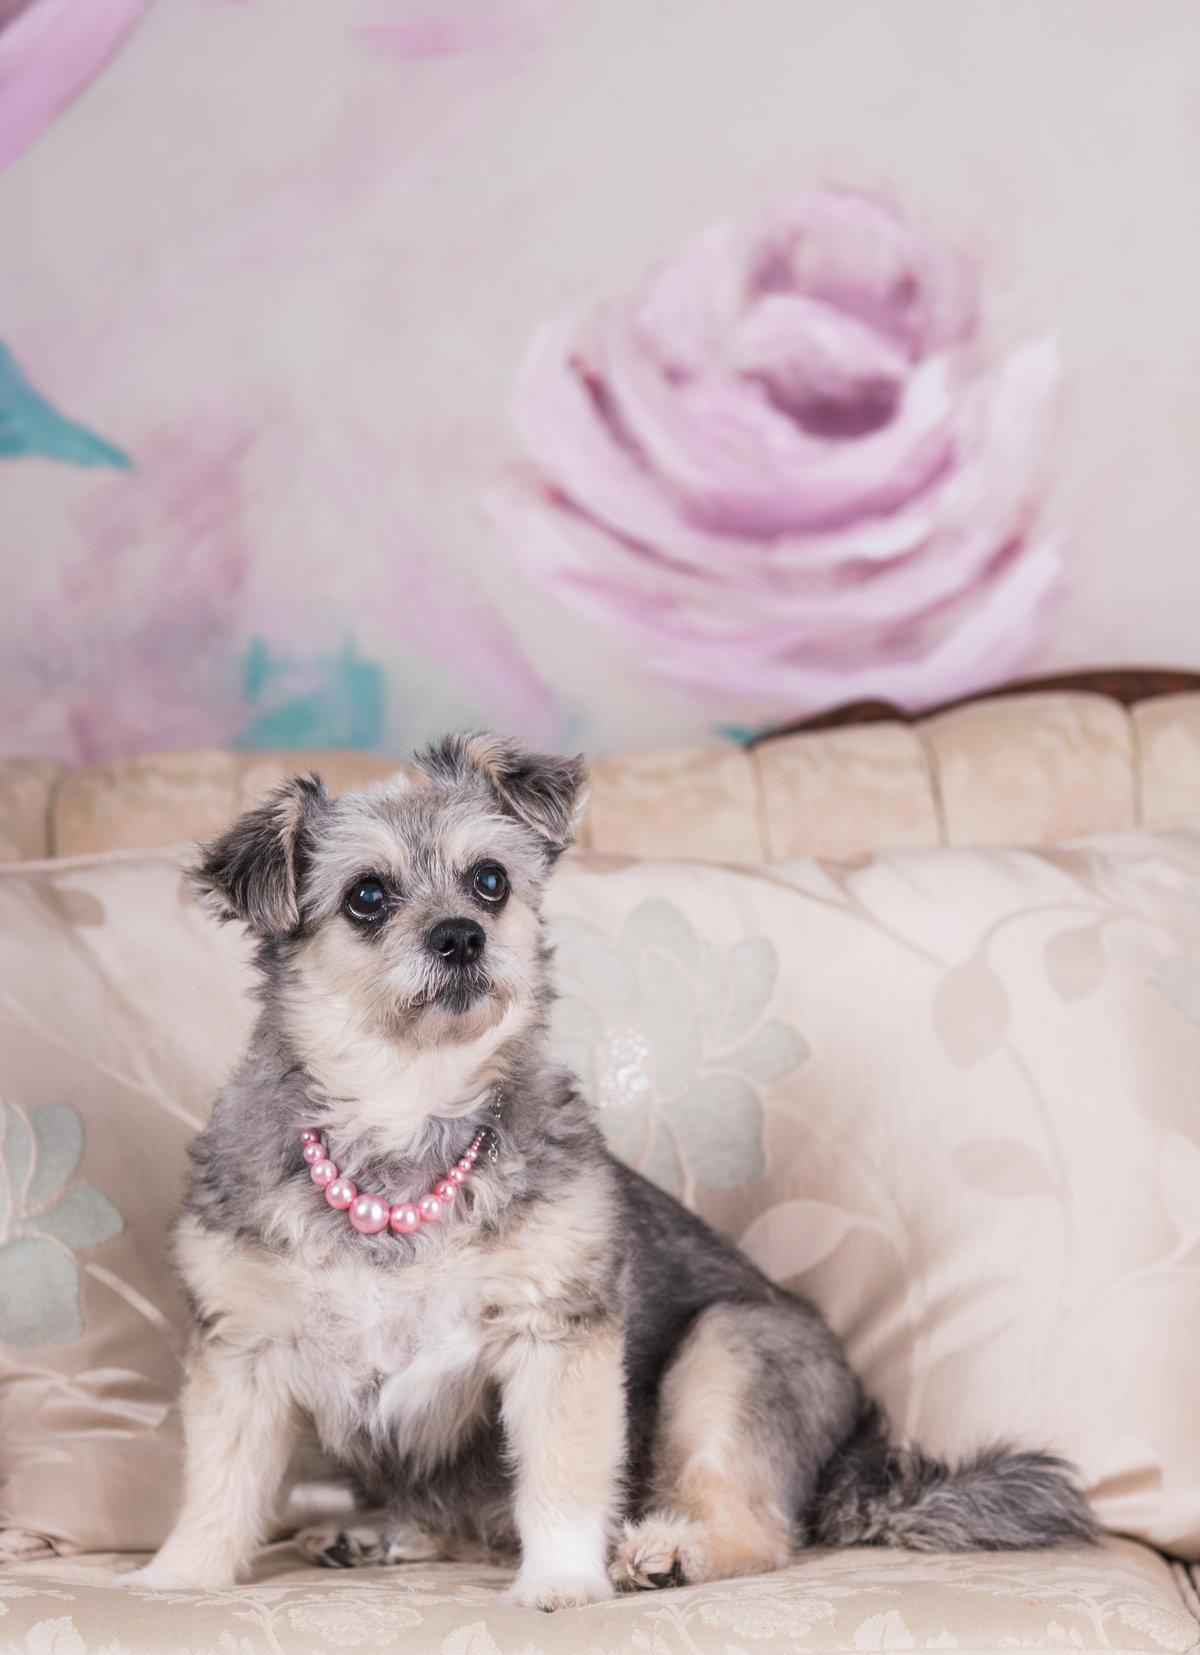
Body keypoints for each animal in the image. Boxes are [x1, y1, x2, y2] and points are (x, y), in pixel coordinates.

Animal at [121, 734, 1092, 1602]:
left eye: (490, 880)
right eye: (366, 896)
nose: (461, 937)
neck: (406, 1120)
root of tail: (854, 1454)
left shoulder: (556, 1336)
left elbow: (559, 1477)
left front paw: (559, 1582)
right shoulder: (242, 1354)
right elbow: (218, 1490)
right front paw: (178, 1580)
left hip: (727, 1350)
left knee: (760, 1528)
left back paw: (670, 1551)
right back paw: (385, 1531)